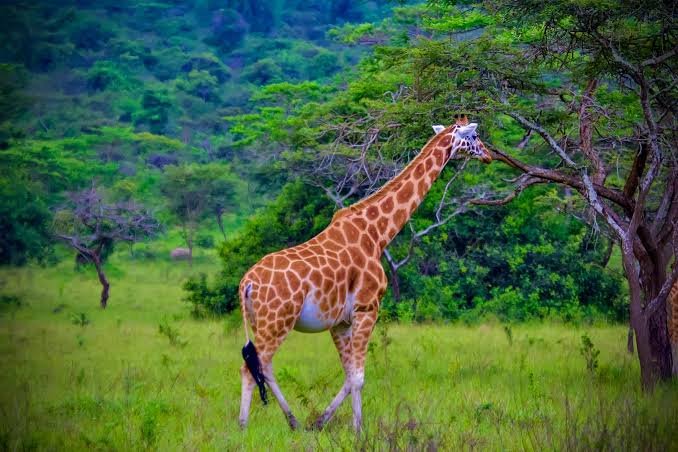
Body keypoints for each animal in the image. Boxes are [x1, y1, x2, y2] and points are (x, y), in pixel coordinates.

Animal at [237, 115, 493, 432]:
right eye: (475, 136)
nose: (489, 155)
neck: (378, 234)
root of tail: (246, 284)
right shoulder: (368, 307)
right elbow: (358, 376)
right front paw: (359, 431)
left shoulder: (340, 321)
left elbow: (349, 375)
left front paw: (322, 422)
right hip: (277, 321)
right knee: (251, 368)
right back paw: (243, 428)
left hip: (262, 323)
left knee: (263, 366)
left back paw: (294, 422)